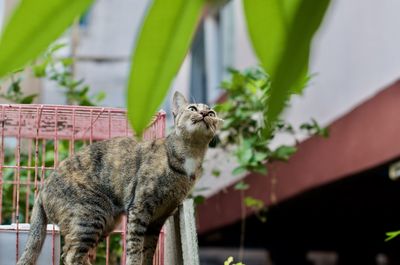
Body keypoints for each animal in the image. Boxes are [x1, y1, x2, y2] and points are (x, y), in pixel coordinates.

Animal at [16, 91, 222, 264]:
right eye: (192, 108)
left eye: (212, 112)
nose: (205, 113)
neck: (189, 156)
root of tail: (42, 189)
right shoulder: (139, 207)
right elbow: (134, 248)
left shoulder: (159, 218)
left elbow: (148, 251)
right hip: (90, 216)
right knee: (70, 255)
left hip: (105, 222)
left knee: (77, 254)